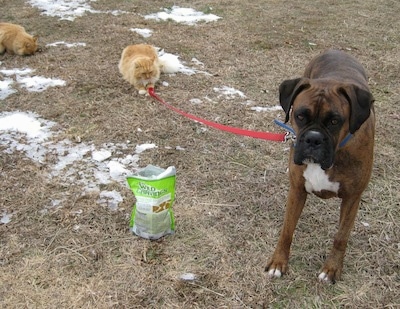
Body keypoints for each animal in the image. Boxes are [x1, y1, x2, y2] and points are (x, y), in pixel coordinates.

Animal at [266, 49, 376, 282]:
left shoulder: (352, 199)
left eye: (335, 121)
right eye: (299, 115)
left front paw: (331, 269)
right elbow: (287, 230)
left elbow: (340, 237)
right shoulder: (297, 190)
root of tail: (335, 50)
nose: (313, 139)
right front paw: (278, 263)